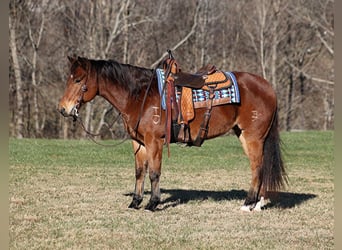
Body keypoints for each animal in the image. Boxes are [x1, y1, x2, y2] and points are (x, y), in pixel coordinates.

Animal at [58, 54, 286, 211]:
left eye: (78, 80)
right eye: (68, 79)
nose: (63, 109)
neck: (139, 96)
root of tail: (268, 87)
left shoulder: (154, 141)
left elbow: (154, 172)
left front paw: (153, 203)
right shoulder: (138, 142)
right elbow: (139, 172)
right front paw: (135, 202)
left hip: (253, 137)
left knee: (257, 167)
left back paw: (248, 203)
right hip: (245, 136)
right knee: (260, 167)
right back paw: (258, 203)